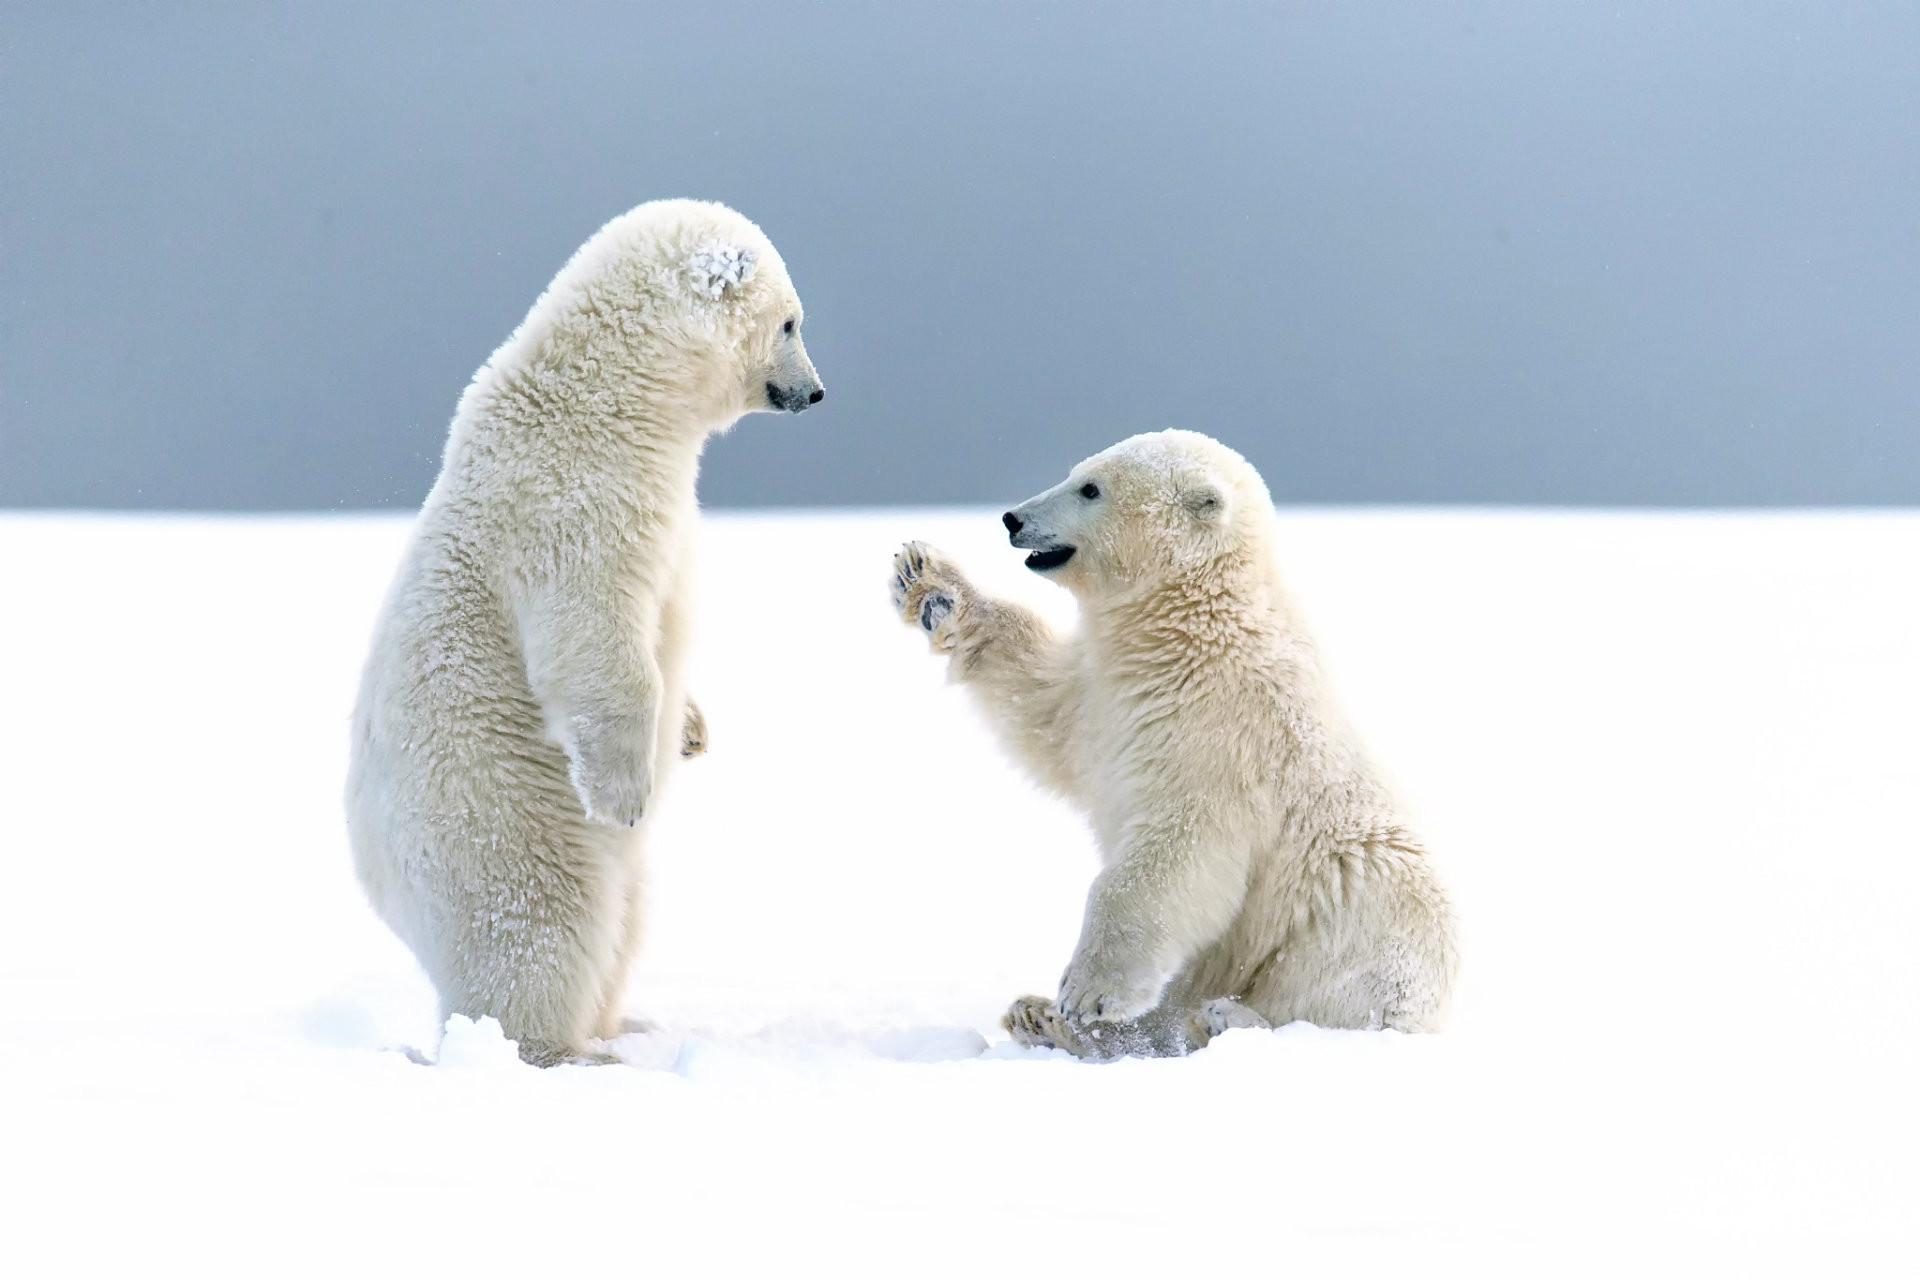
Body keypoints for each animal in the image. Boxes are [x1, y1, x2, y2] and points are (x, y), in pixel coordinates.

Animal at [347, 199, 823, 1066]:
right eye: (789, 322)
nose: (815, 391)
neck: (604, 396)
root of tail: (383, 889)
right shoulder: (574, 501)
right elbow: (594, 638)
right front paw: (627, 792)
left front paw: (693, 729)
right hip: (495, 825)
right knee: (541, 928)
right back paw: (564, 1049)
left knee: (626, 923)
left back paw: (623, 1024)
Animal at [889, 429, 1457, 1058]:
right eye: (1076, 473)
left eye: (1091, 489)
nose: (1013, 518)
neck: (1191, 623)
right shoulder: (1106, 691)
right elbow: (1041, 707)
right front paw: (929, 581)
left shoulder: (1219, 730)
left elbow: (1175, 854)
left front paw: (1088, 993)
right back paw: (1040, 1017)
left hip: (1358, 919)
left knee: (1336, 991)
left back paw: (1224, 1018)